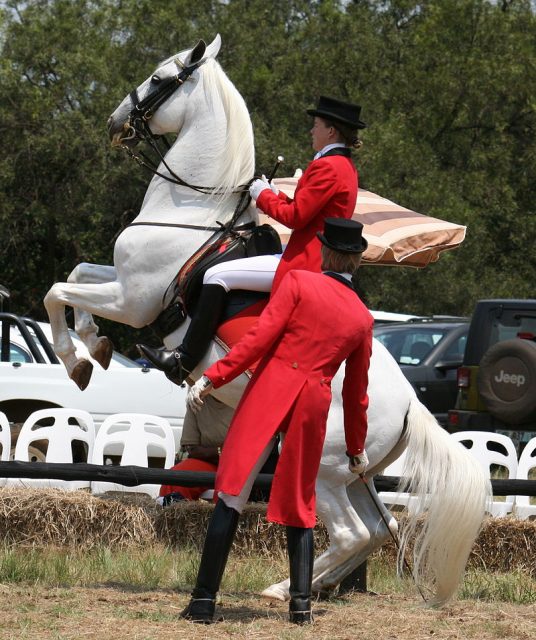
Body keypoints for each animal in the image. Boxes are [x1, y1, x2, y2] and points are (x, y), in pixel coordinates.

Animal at [45, 35, 490, 604]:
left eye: (160, 78)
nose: (116, 121)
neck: (190, 210)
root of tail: (413, 406)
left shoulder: (132, 298)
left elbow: (58, 291)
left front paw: (77, 357)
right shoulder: (120, 282)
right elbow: (76, 274)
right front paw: (94, 344)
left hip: (324, 469)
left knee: (353, 532)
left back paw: (283, 590)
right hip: (355, 475)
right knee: (378, 528)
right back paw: (299, 587)